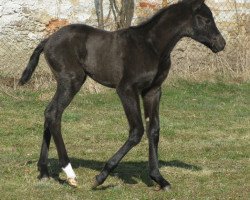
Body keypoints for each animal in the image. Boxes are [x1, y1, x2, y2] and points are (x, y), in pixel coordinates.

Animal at [19, 0, 226, 190]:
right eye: (206, 20)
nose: (221, 44)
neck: (151, 46)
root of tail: (47, 41)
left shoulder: (153, 91)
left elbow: (154, 130)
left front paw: (159, 178)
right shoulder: (126, 89)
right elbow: (136, 131)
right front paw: (101, 176)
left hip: (66, 83)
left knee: (49, 113)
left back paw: (44, 171)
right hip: (71, 81)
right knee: (54, 114)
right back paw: (70, 173)